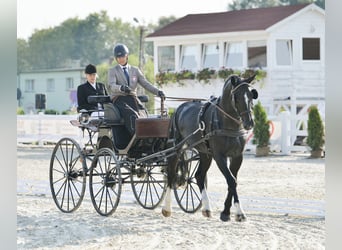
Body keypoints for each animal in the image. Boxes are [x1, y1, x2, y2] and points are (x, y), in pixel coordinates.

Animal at [162, 73, 258, 221]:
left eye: (251, 95)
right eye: (236, 97)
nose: (249, 123)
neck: (227, 123)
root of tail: (180, 108)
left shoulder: (237, 156)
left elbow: (233, 181)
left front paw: (226, 212)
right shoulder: (219, 156)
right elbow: (231, 180)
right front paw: (239, 212)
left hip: (205, 154)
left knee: (199, 175)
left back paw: (206, 208)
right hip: (175, 149)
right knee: (171, 175)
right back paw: (167, 208)